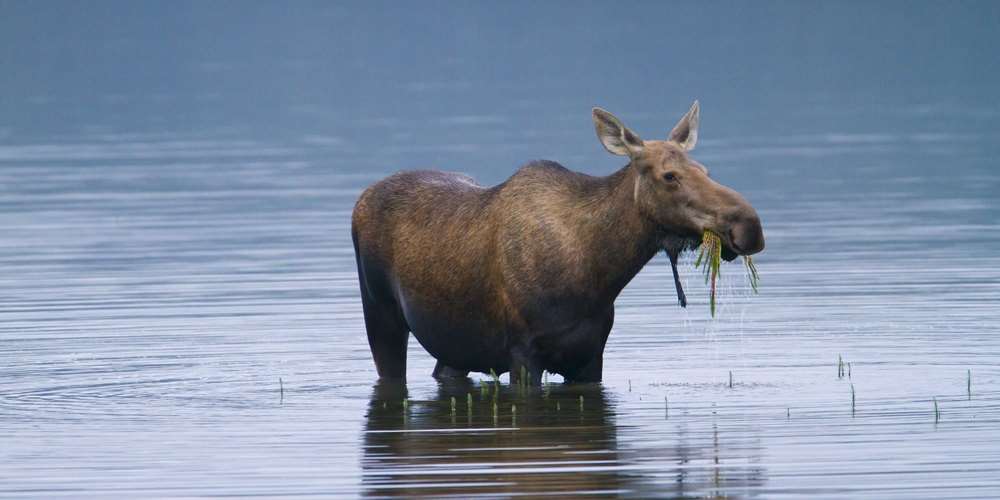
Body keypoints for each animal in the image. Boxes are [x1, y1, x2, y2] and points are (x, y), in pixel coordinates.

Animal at [352, 100, 764, 382]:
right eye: (669, 176)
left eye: (704, 169)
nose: (749, 226)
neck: (599, 272)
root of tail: (361, 200)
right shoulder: (523, 354)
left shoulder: (591, 356)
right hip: (380, 314)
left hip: (454, 345)